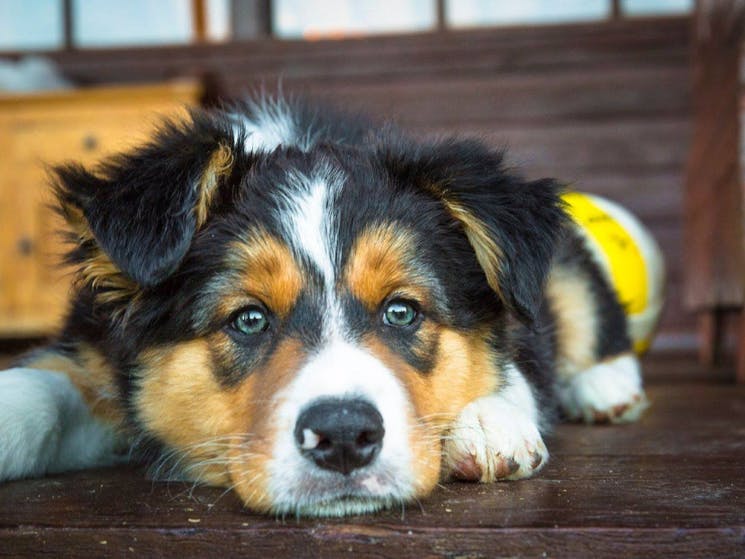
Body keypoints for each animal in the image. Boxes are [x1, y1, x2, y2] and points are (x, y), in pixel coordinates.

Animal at [0, 95, 664, 516]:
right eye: (248, 319)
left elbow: (518, 367)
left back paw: (607, 387)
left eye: (402, 311)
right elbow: (43, 391)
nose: (344, 437)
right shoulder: (93, 349)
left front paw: (488, 421)